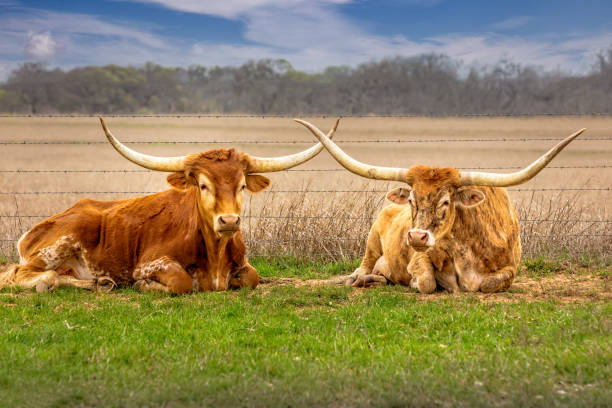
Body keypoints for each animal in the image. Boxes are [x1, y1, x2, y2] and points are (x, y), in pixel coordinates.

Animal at [0, 118, 340, 294]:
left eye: (242, 185)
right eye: (203, 185)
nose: (229, 221)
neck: (214, 256)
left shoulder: (244, 266)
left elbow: (251, 278)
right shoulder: (150, 262)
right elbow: (180, 282)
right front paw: (145, 286)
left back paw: (99, 282)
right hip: (58, 244)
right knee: (20, 273)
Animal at [298, 118, 584, 294]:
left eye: (446, 201)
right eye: (412, 199)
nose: (416, 236)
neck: (468, 248)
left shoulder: (510, 268)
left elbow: (489, 284)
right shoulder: (420, 257)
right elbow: (426, 281)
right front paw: (415, 283)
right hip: (371, 242)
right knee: (363, 267)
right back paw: (361, 279)